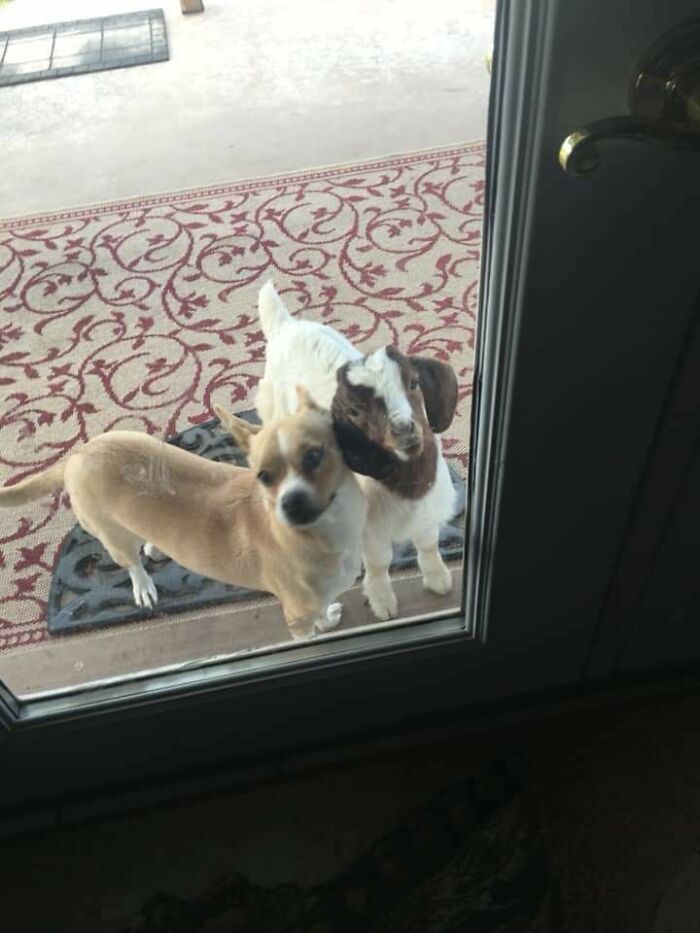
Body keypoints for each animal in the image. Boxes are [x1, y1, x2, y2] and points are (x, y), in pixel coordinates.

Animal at [0, 388, 370, 640]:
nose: (290, 504)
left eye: (314, 456)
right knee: (131, 563)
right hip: (112, 536)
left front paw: (329, 615)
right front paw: (325, 626)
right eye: (263, 476)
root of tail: (79, 452)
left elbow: (323, 609)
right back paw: (143, 584)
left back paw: (154, 546)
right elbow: (312, 630)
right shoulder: (297, 616)